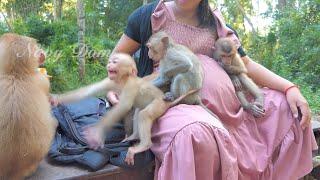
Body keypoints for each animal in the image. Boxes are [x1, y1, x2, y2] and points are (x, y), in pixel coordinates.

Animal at [52, 52, 198, 165]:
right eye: (110, 61)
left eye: (115, 62)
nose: (109, 65)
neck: (121, 80)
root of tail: (166, 101)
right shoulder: (109, 80)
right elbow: (87, 91)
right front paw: (56, 99)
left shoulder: (130, 86)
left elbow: (124, 106)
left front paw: (96, 133)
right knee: (138, 113)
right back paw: (134, 136)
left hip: (159, 104)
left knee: (144, 114)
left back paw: (144, 145)